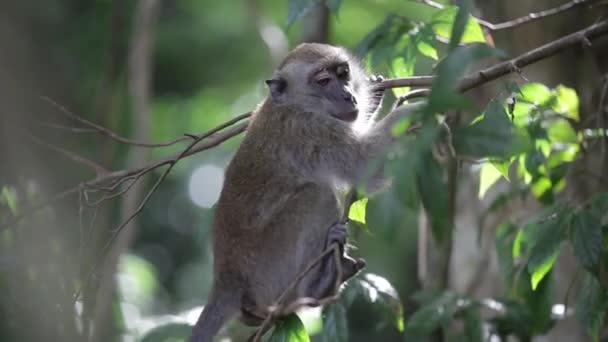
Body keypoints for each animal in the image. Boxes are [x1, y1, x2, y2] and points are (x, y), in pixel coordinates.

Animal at [192, 42, 426, 342]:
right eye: (324, 81)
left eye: (343, 74)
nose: (349, 96)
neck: (293, 104)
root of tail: (226, 278)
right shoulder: (309, 129)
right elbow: (363, 165)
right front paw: (418, 109)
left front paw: (374, 93)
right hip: (269, 271)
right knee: (316, 194)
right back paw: (318, 287)